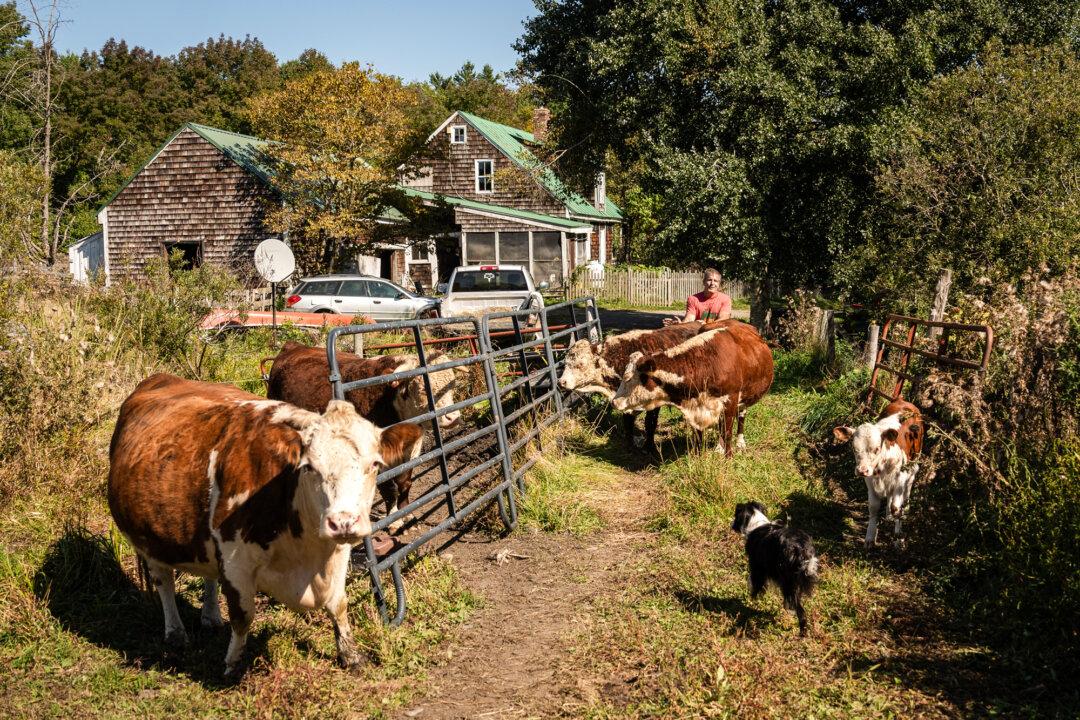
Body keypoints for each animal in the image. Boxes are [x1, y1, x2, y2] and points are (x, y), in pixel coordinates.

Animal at [108, 373, 422, 676]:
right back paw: (175, 633)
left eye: (374, 465)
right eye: (309, 467)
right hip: (148, 538)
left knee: (208, 575)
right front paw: (233, 664)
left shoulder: (336, 552)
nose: (342, 522)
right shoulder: (235, 560)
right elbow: (243, 616)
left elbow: (338, 603)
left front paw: (351, 655)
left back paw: (210, 617)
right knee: (164, 581)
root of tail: (159, 379)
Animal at [263, 341, 462, 530]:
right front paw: (395, 520)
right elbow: (388, 488)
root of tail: (293, 346)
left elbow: (405, 482)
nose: (453, 418)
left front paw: (407, 514)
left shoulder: (410, 452)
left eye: (453, 385)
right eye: (423, 389)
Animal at [557, 323, 702, 451]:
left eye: (581, 364)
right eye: (565, 363)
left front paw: (649, 447)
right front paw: (630, 446)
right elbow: (627, 423)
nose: (561, 382)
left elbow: (650, 423)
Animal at [610, 321, 774, 456]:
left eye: (629, 379)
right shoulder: (696, 406)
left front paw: (728, 457)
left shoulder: (731, 400)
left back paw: (740, 443)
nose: (614, 402)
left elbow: (727, 432)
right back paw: (719, 447)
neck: (708, 362)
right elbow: (699, 434)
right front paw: (698, 455)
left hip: (744, 398)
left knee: (741, 416)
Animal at [833, 399, 924, 548]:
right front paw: (870, 537)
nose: (862, 470)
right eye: (854, 448)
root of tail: (902, 400)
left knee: (908, 486)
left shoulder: (900, 478)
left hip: (914, 462)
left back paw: (906, 508)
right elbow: (873, 507)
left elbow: (896, 508)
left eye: (876, 449)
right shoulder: (870, 481)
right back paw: (888, 516)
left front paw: (899, 538)